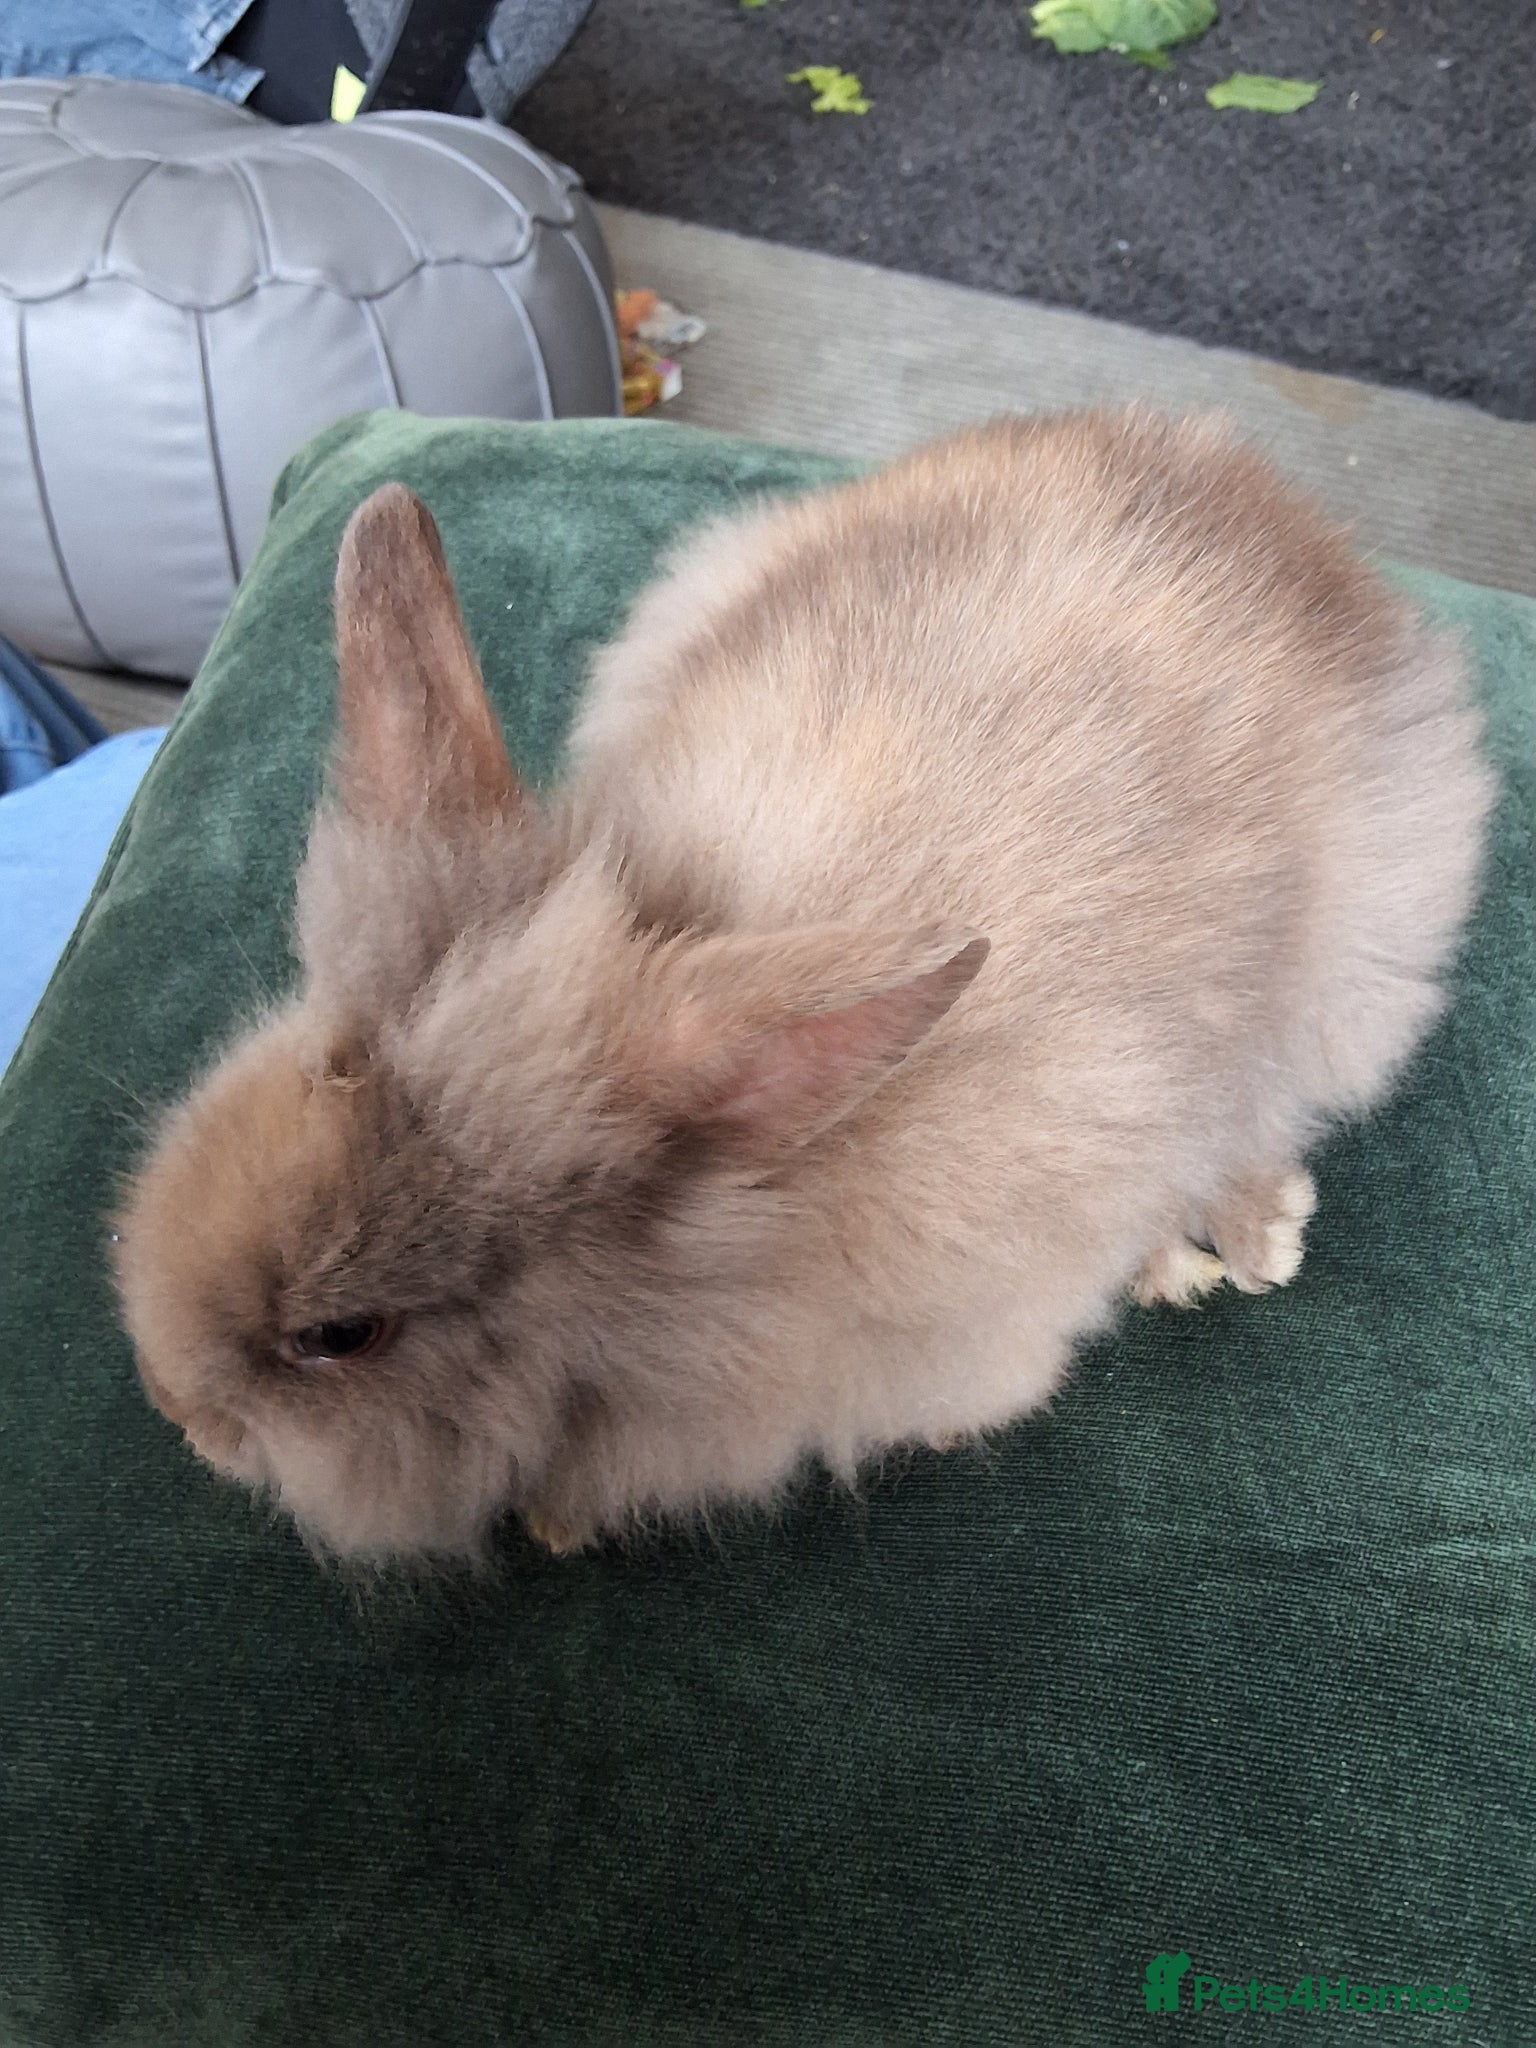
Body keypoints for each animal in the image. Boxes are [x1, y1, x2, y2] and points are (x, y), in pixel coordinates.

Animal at [111, 408, 1494, 1564]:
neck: (717, 1254)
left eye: (339, 1335)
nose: (182, 1418)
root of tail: (1286, 517)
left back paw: (1245, 1242)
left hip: (1353, 992)